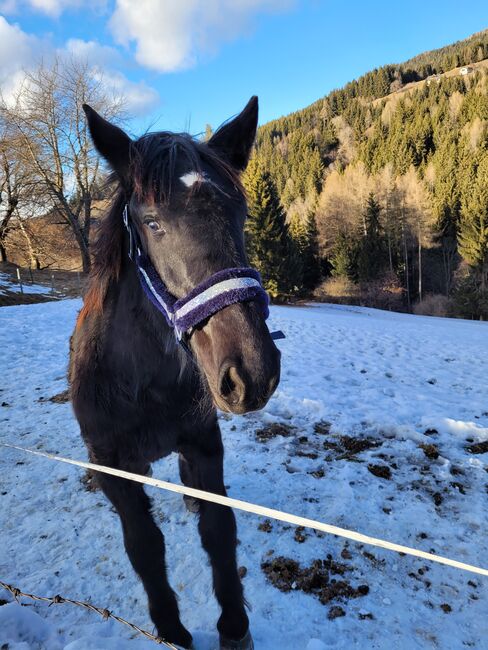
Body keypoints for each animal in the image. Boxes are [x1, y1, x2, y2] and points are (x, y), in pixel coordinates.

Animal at [69, 97, 282, 648]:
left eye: (240, 214)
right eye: (151, 222)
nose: (252, 372)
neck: (141, 383)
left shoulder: (205, 445)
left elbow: (219, 528)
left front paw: (234, 626)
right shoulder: (114, 468)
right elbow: (144, 545)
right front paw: (171, 630)